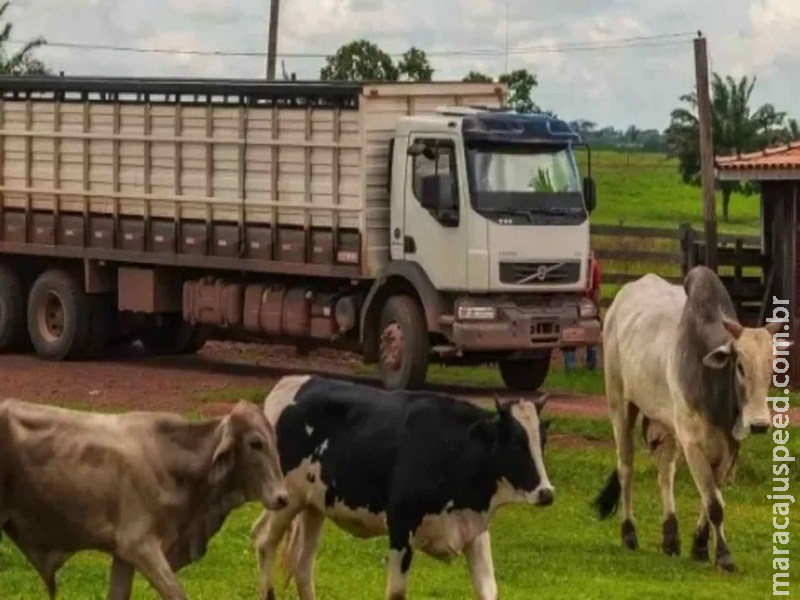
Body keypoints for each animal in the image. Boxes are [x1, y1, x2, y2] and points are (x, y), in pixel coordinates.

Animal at [0, 396, 288, 596]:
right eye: (255, 443)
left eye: (275, 439)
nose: (283, 498)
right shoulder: (139, 545)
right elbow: (176, 593)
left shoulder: (122, 553)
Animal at [253, 376, 552, 600]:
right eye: (514, 442)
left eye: (542, 441)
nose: (547, 492)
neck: (454, 448)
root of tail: (290, 383)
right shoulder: (400, 527)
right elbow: (396, 593)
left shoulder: (474, 530)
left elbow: (488, 589)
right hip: (286, 500)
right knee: (264, 541)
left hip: (313, 506)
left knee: (303, 564)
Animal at [592, 268, 788, 572]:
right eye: (740, 366)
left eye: (773, 367)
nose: (759, 424)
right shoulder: (692, 443)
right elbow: (715, 504)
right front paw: (724, 556)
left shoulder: (730, 446)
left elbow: (710, 498)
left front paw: (699, 546)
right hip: (620, 405)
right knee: (626, 468)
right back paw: (629, 533)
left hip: (665, 424)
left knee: (665, 472)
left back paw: (670, 537)